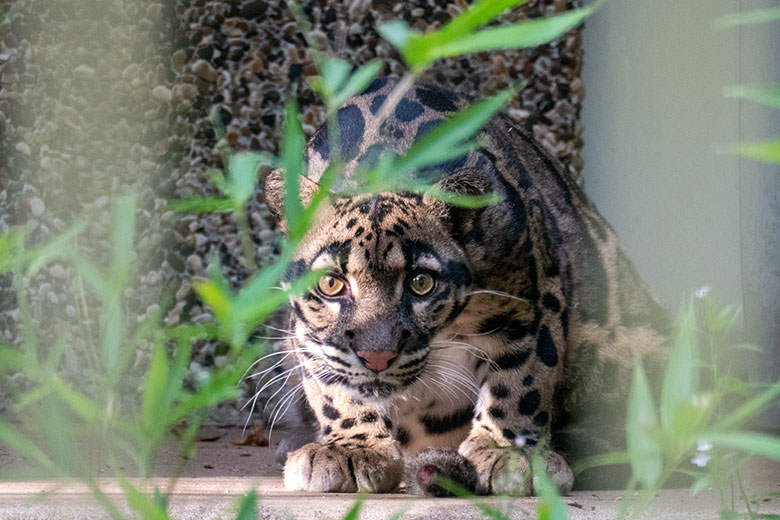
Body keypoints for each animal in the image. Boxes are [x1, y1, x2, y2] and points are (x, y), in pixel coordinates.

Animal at [258, 77, 668, 496]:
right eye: (331, 283)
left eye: (421, 283)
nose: (376, 357)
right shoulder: (310, 334)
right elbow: (333, 387)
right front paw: (352, 448)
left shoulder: (531, 300)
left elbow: (523, 378)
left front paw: (509, 453)